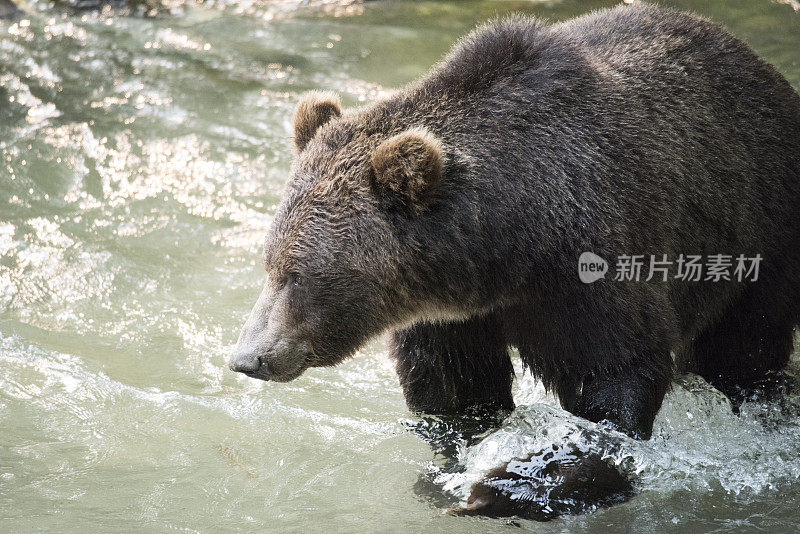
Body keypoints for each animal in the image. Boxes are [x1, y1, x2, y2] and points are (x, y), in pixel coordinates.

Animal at [227, 0, 800, 520]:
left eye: (300, 274)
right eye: (269, 262)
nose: (248, 357)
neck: (510, 246)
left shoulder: (591, 264)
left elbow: (616, 380)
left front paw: (506, 488)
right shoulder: (451, 313)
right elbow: (457, 392)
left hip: (759, 232)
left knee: (741, 348)